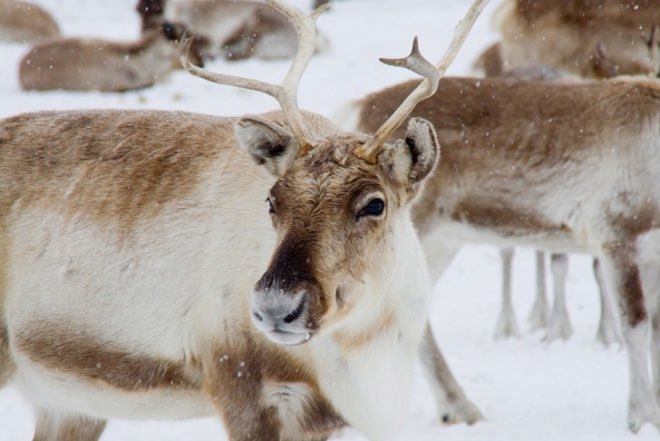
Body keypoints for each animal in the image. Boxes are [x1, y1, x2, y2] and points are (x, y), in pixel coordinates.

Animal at [0, 0, 490, 439]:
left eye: (374, 204)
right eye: (272, 200)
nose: (276, 307)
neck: (364, 349)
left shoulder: (320, 418)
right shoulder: (240, 387)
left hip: (70, 403)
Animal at [343, 74, 660, 432]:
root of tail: (356, 110)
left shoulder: (652, 253)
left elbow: (657, 332)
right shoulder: (617, 238)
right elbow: (636, 328)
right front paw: (643, 417)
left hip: (437, 242)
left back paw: (457, 408)